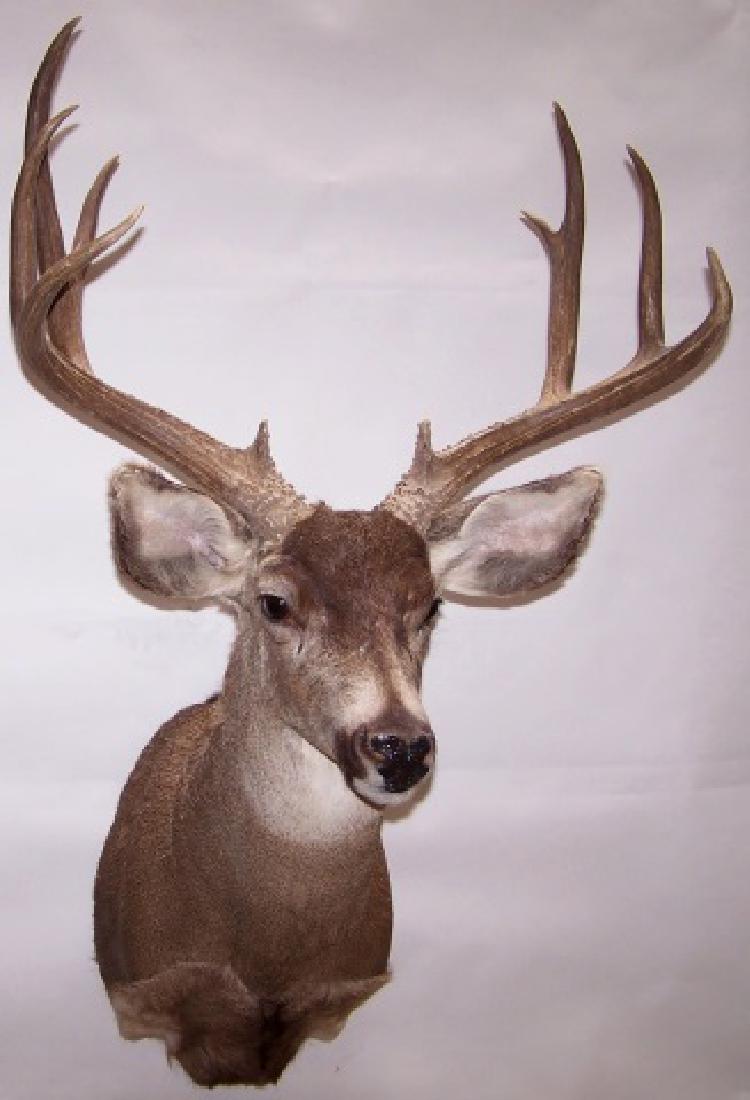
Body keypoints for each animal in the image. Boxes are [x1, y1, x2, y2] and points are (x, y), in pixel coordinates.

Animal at [11, 18, 731, 1090]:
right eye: (273, 601)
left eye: (429, 606)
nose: (398, 746)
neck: (266, 948)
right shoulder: (157, 999)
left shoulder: (333, 999)